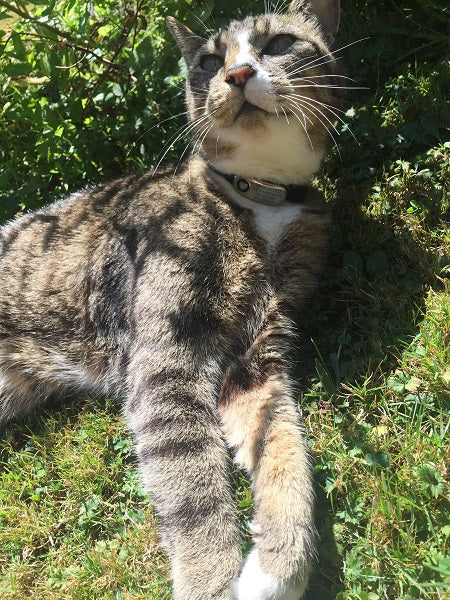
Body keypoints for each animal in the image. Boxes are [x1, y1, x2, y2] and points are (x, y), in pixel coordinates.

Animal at [0, 1, 344, 600]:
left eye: (278, 44)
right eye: (208, 61)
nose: (238, 73)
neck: (261, 198)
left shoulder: (258, 356)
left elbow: (285, 452)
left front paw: (276, 565)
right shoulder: (167, 359)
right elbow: (192, 484)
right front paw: (215, 579)